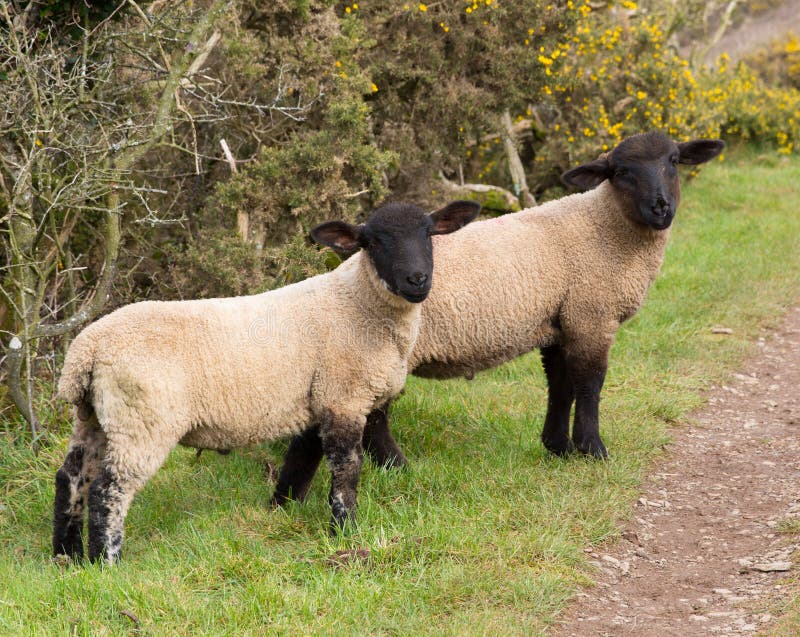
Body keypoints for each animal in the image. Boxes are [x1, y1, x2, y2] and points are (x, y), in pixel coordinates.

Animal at [52, 200, 480, 564]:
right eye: (373, 242)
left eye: (428, 233)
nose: (417, 279)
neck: (358, 305)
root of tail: (87, 350)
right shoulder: (343, 395)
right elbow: (346, 469)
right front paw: (345, 532)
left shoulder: (317, 399)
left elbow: (300, 462)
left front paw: (281, 509)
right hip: (142, 419)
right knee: (108, 490)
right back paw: (106, 562)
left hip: (94, 415)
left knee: (70, 478)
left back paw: (67, 557)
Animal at [272, 132, 724, 501]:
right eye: (621, 172)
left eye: (673, 161)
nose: (661, 208)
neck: (605, 229)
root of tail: (339, 282)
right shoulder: (591, 315)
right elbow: (590, 384)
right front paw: (592, 449)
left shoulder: (559, 320)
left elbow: (560, 386)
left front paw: (558, 447)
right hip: (369, 356)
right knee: (373, 417)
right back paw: (397, 468)